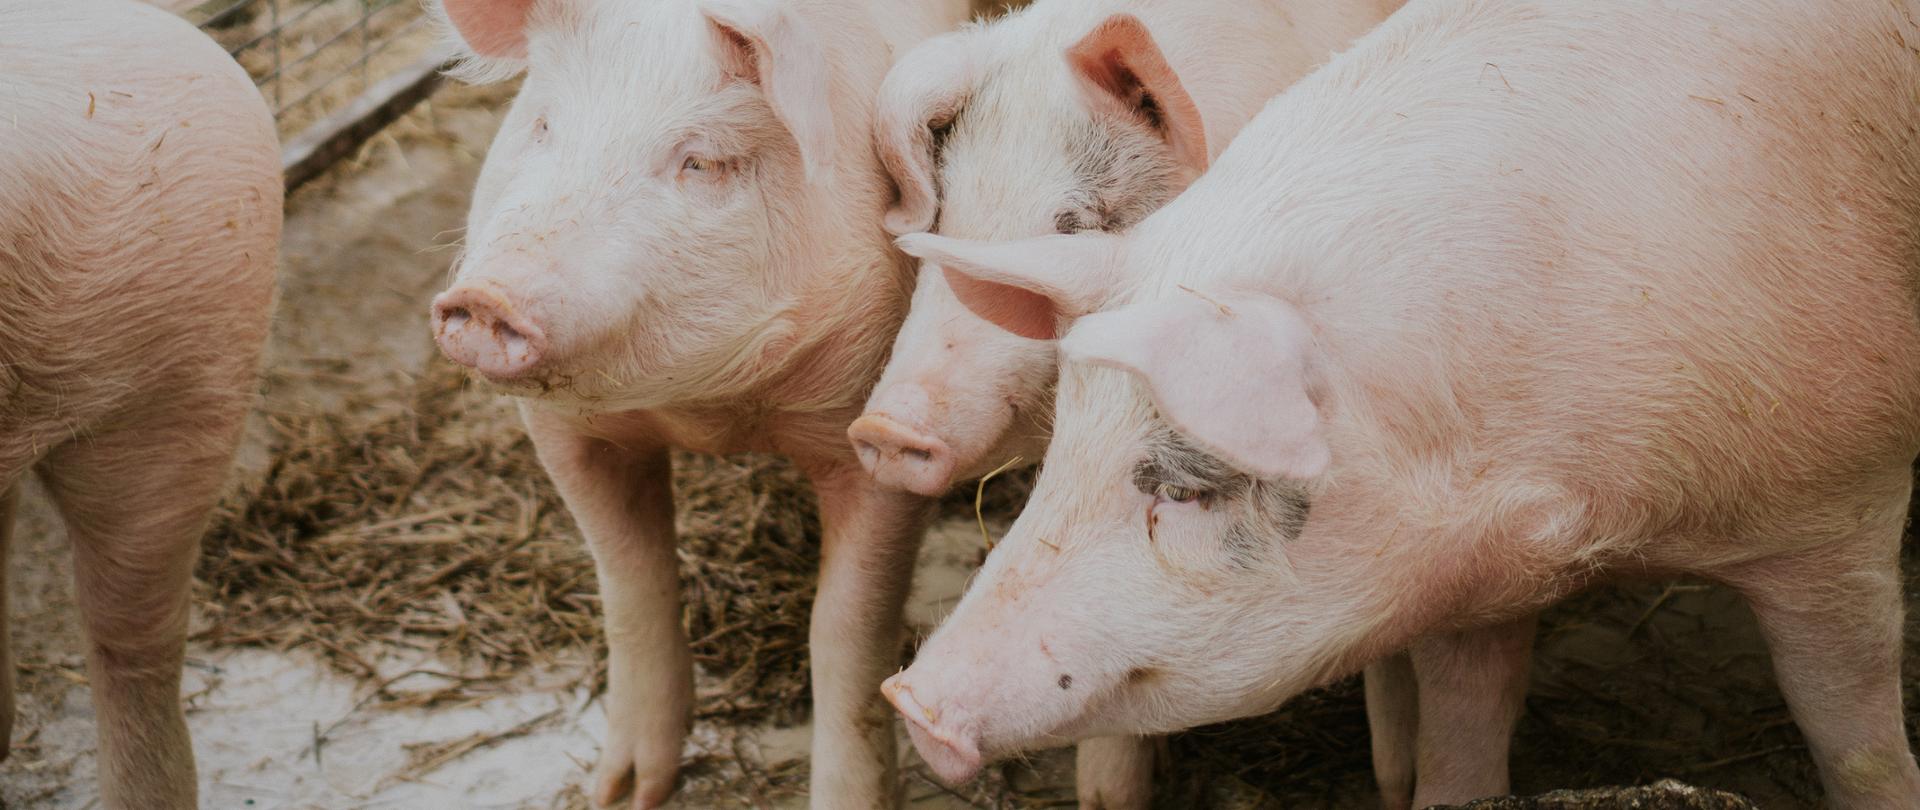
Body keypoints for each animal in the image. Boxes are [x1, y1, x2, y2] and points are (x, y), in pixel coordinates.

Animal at [426, 0, 968, 806]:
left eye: (702, 161)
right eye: (544, 126)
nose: (488, 299)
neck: (713, 410)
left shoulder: (882, 437)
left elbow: (848, 629)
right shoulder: (564, 432)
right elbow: (629, 584)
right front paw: (622, 792)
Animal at [879, 0, 1920, 808]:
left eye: (1185, 489)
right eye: (1064, 454)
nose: (909, 698)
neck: (1597, 518)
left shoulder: (1841, 510)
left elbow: (1859, 741)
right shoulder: (1467, 576)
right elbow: (1462, 745)